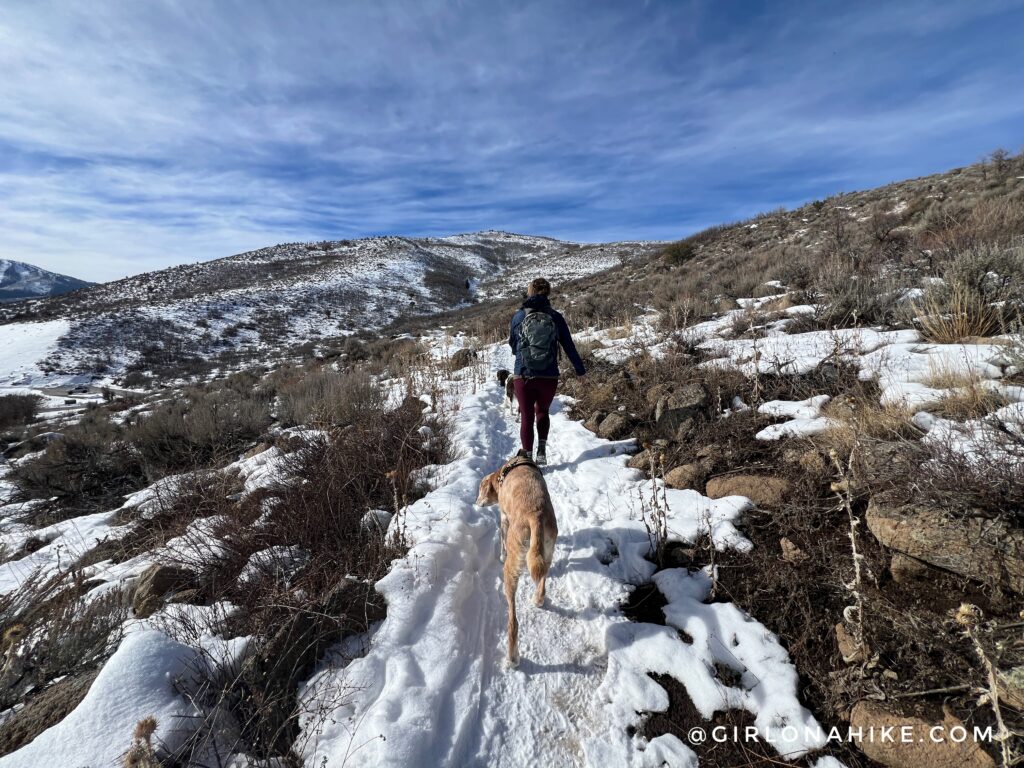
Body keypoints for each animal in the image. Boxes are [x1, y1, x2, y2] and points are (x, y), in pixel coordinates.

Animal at [475, 456, 557, 667]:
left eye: (480, 488)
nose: (476, 501)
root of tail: (535, 516)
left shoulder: (504, 518)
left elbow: (502, 538)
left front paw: (500, 554)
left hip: (511, 571)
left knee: (513, 622)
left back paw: (512, 658)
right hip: (547, 551)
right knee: (542, 580)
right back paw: (538, 600)